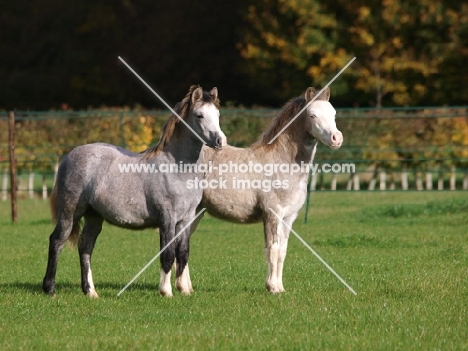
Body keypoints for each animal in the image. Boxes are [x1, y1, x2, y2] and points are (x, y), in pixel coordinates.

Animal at [42, 85, 227, 296]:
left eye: (217, 114)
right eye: (199, 115)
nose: (220, 141)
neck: (177, 168)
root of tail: (68, 156)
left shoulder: (186, 219)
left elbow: (183, 253)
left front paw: (184, 290)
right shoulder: (167, 218)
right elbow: (167, 254)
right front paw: (166, 291)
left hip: (94, 216)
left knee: (85, 247)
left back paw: (90, 292)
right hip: (70, 212)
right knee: (57, 241)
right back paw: (50, 289)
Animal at [186, 87, 344, 294]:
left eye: (333, 113)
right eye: (313, 115)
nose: (337, 138)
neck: (281, 164)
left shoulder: (288, 217)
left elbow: (282, 251)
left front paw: (280, 287)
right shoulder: (272, 214)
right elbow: (273, 249)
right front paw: (272, 288)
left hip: (197, 212)